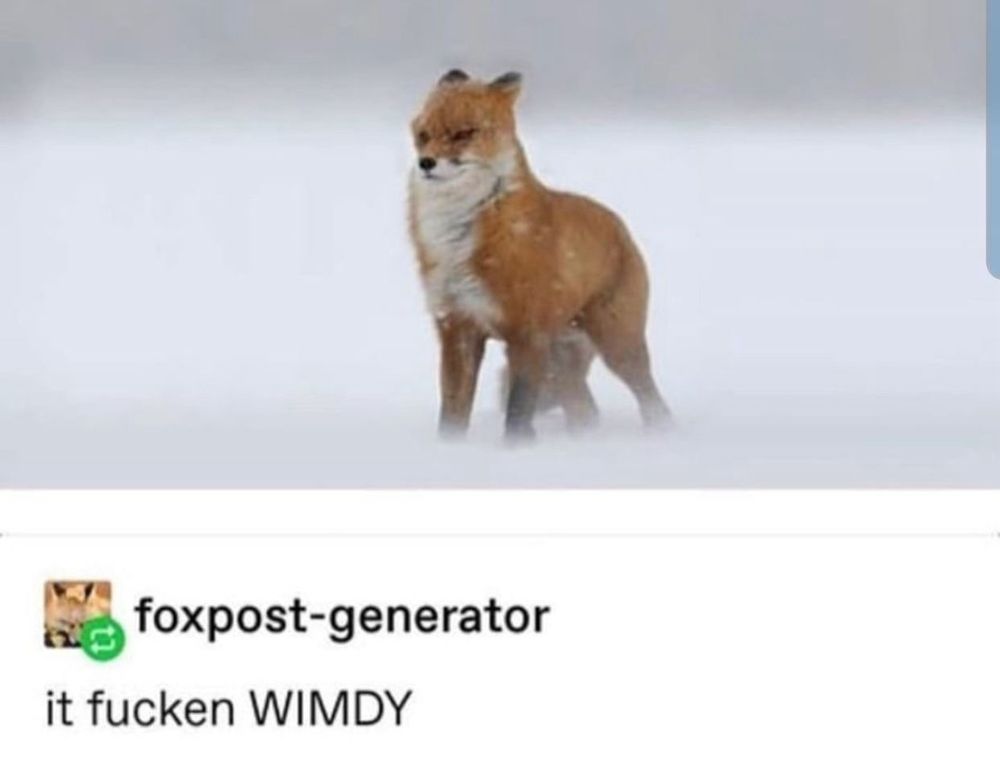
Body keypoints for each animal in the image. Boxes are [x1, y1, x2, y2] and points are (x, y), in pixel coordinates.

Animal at [408, 69, 670, 441]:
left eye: (462, 134)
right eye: (423, 135)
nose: (425, 163)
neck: (461, 239)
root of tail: (621, 226)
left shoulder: (526, 332)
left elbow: (518, 411)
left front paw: (516, 450)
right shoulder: (458, 327)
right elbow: (452, 414)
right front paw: (450, 450)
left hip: (617, 346)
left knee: (652, 402)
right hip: (561, 361)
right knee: (586, 412)